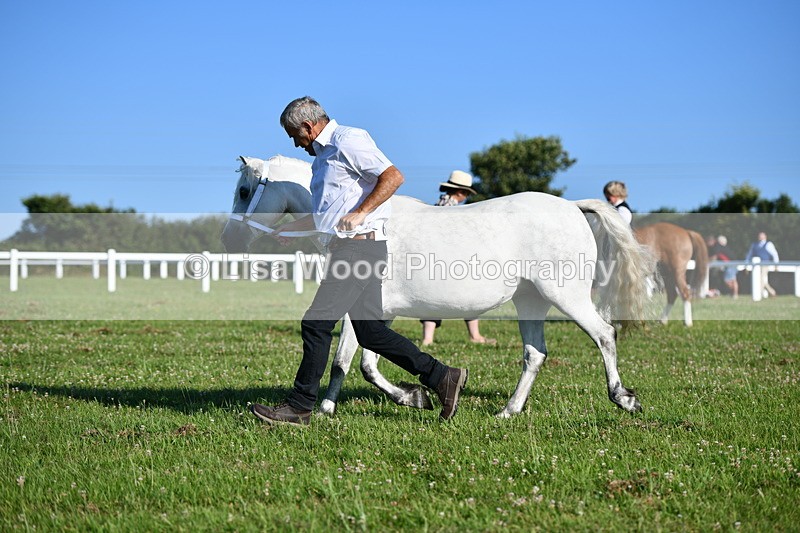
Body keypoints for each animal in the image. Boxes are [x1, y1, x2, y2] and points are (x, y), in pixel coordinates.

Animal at [222, 155, 656, 418]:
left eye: (244, 191)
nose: (230, 241)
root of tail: (572, 207)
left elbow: (354, 361)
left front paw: (403, 398)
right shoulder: (374, 313)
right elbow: (355, 362)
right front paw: (390, 399)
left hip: (565, 296)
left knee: (604, 334)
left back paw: (624, 398)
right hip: (529, 301)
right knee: (535, 354)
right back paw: (507, 411)